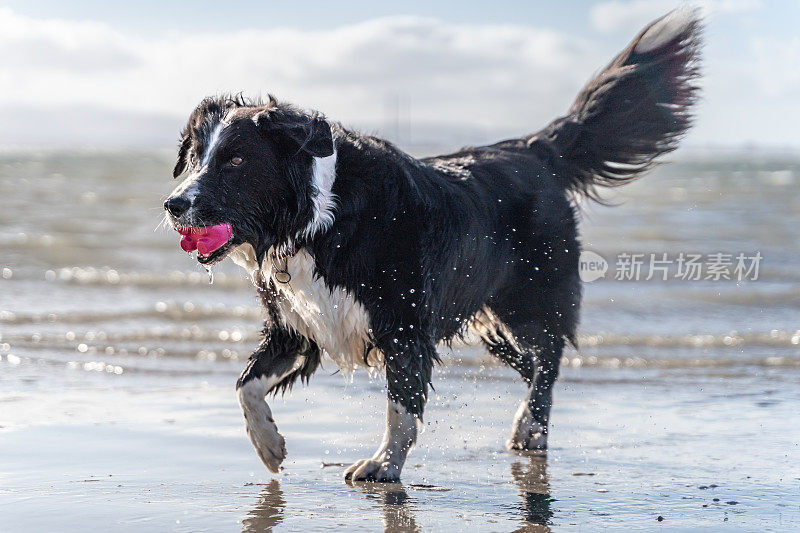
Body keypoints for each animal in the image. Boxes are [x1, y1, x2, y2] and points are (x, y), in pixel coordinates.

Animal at [162, 9, 700, 482]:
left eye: (235, 161)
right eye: (193, 157)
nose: (173, 204)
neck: (320, 218)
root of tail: (533, 151)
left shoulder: (403, 325)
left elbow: (401, 403)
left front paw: (384, 465)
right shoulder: (298, 325)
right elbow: (245, 384)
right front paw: (269, 445)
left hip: (528, 302)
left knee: (547, 359)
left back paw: (531, 428)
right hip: (490, 324)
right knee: (531, 365)